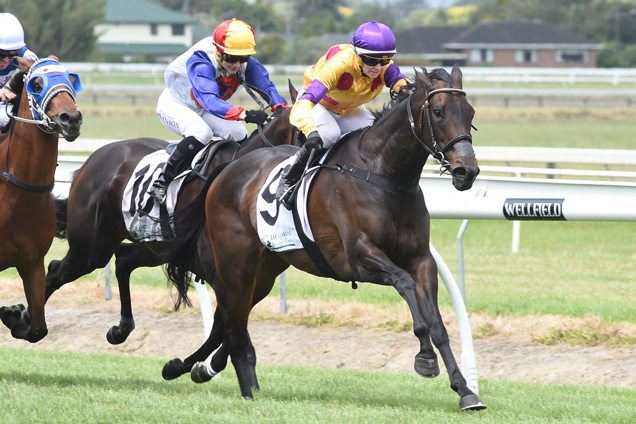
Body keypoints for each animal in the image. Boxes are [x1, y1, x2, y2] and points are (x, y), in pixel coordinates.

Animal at [0, 57, 83, 342]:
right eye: (37, 84)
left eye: (71, 79)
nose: (71, 119)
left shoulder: (32, 262)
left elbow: (38, 329)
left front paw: (12, 314)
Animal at [165, 66, 486, 410]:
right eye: (438, 112)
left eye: (470, 112)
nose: (467, 171)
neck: (383, 175)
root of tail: (228, 168)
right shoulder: (358, 258)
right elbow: (405, 284)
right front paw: (425, 357)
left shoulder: (421, 259)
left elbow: (438, 323)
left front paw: (465, 390)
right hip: (235, 263)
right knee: (231, 317)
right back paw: (228, 381)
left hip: (265, 270)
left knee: (230, 317)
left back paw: (192, 367)